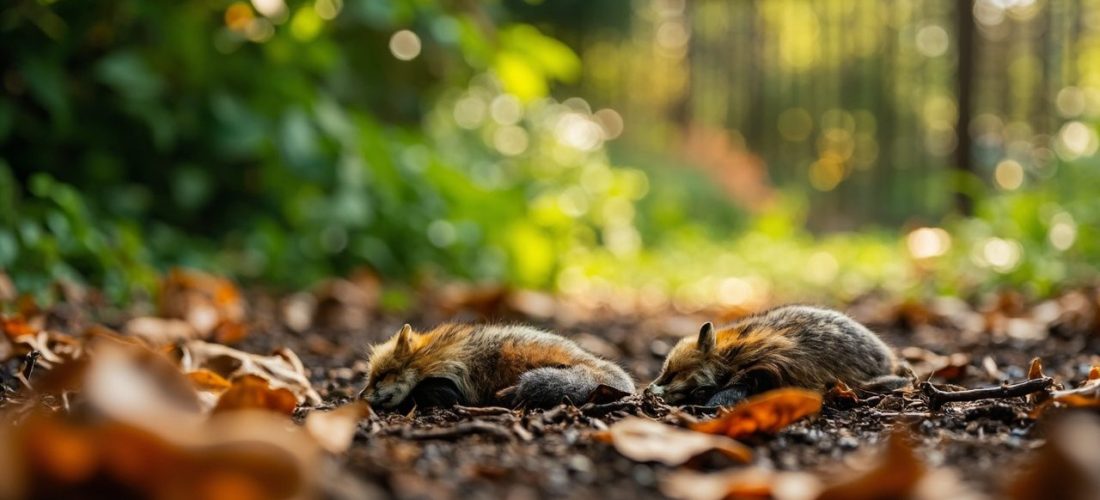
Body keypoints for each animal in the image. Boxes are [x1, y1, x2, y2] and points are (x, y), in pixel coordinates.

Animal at [646, 305, 909, 407]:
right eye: (665, 371)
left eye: (674, 373)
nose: (648, 390)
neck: (731, 355)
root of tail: (889, 357)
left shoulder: (773, 363)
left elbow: (742, 383)